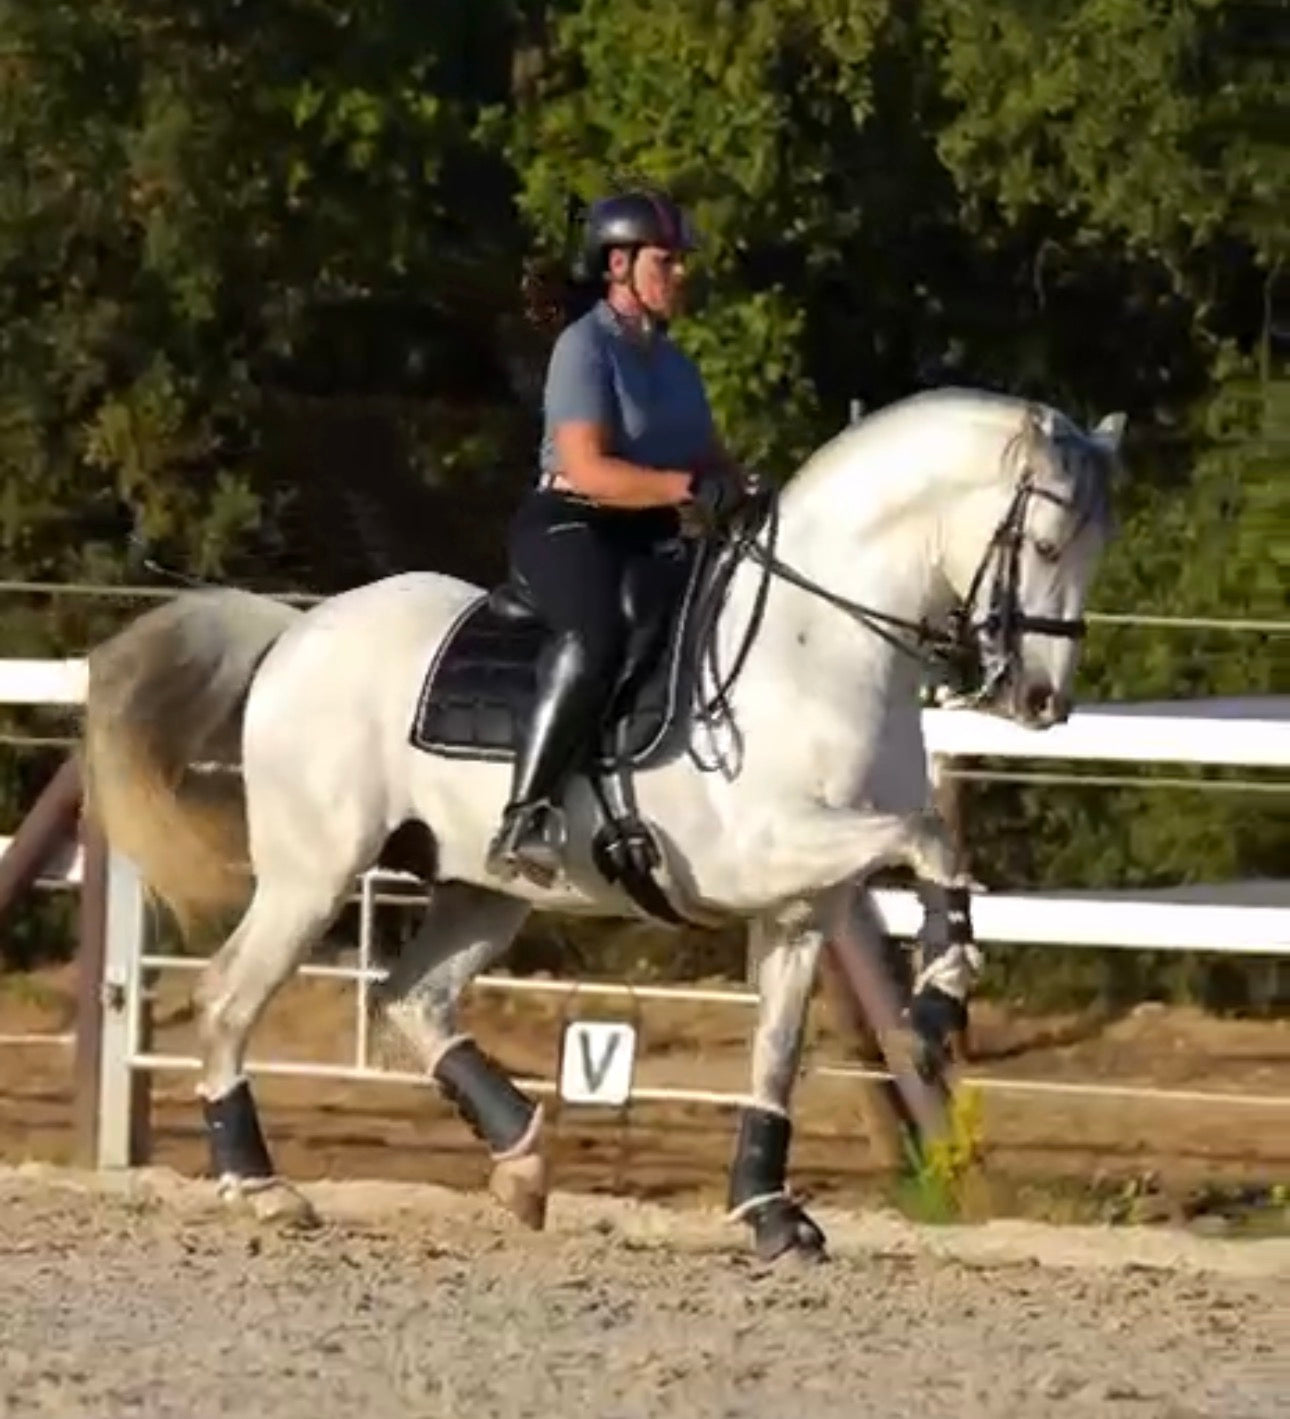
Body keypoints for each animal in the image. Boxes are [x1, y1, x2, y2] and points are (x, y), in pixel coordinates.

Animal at [81, 386, 1123, 1261]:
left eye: (1093, 552)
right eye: (1044, 543)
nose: (1042, 700)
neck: (817, 647)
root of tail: (297, 629)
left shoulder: (805, 904)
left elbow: (779, 1050)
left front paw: (770, 1211)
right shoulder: (766, 850)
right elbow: (928, 837)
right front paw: (941, 997)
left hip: (480, 888)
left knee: (413, 999)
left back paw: (525, 1162)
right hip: (315, 873)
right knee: (229, 996)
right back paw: (261, 1187)